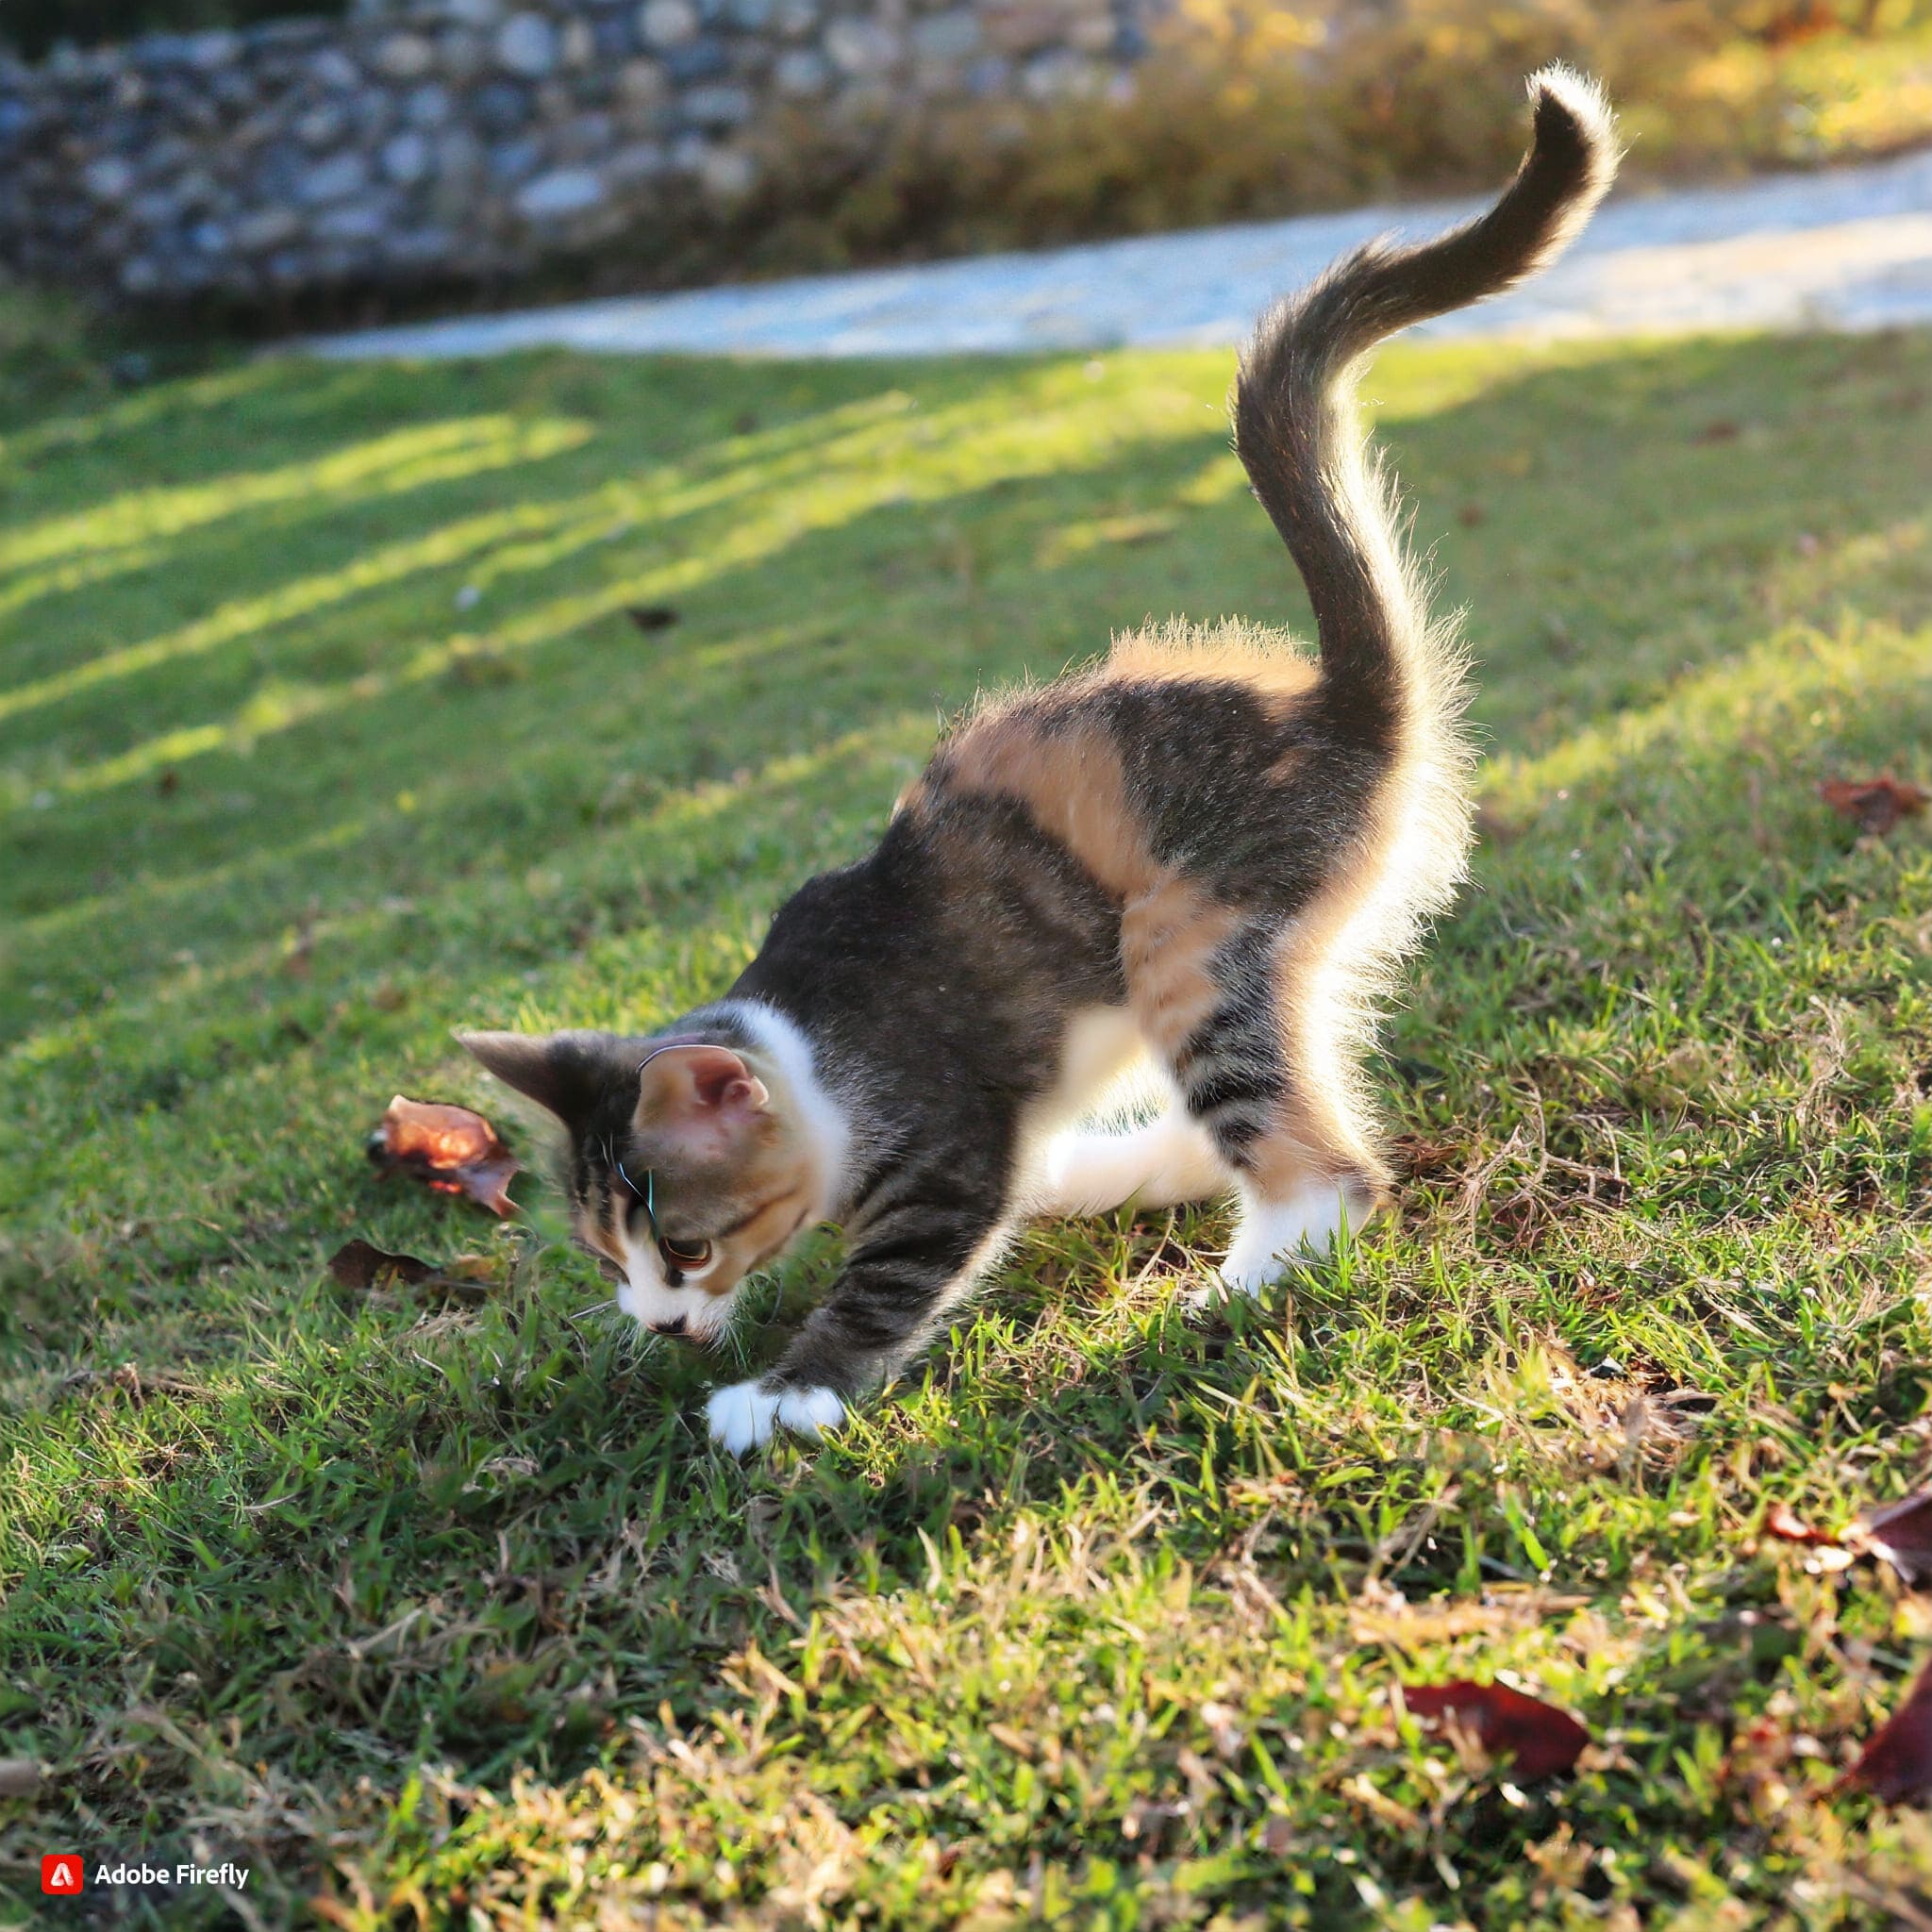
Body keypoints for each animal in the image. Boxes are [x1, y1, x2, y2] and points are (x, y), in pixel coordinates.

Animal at [456, 71, 1615, 1453]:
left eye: (684, 1245)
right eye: (605, 1256)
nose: (660, 1324)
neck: (812, 1047)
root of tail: (1336, 705)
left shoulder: (945, 1138)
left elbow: (894, 1272)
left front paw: (775, 1398)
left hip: (1186, 935)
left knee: (1330, 1168)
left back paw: (1237, 1281)